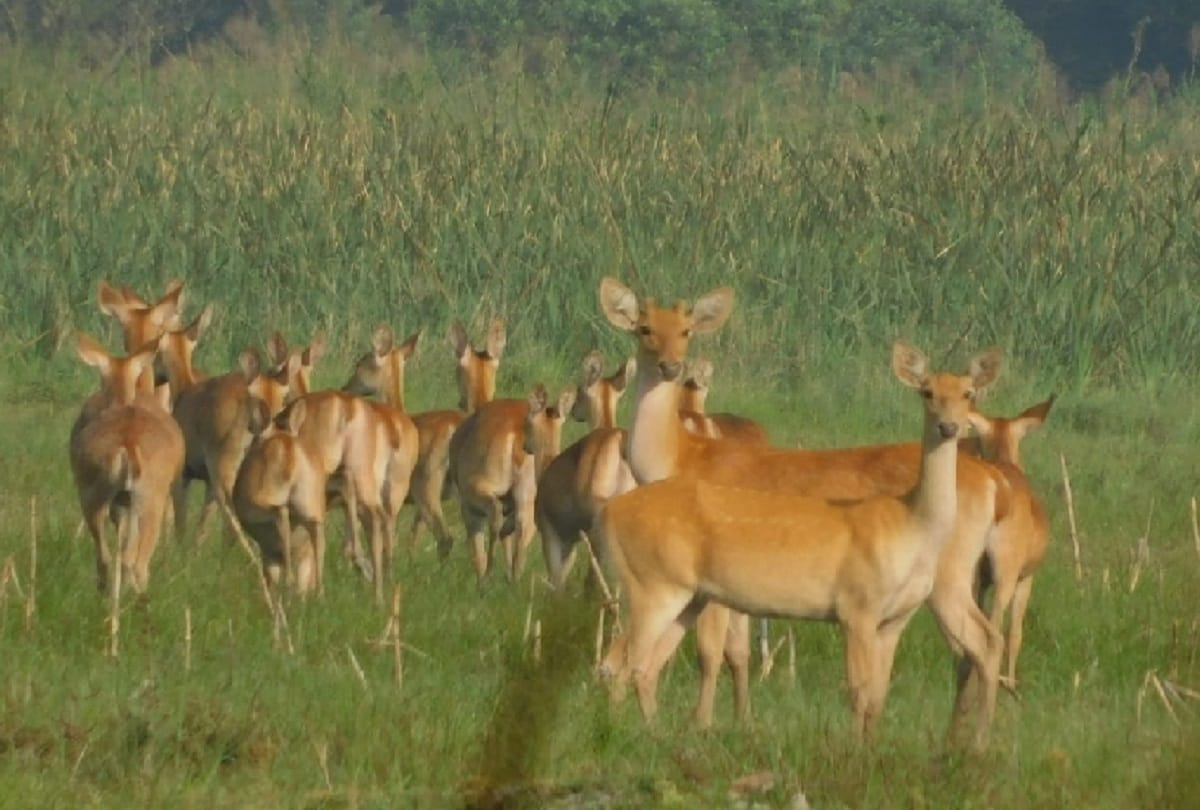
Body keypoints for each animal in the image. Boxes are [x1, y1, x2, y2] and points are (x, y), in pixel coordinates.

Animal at [450, 383, 575, 584]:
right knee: (521, 529)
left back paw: (487, 577)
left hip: (479, 492)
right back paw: (513, 580)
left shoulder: (469, 507)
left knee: (494, 517)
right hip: (526, 499)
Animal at [596, 277, 1010, 750]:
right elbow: (736, 652)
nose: (670, 366)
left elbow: (712, 652)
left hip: (950, 572)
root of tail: (993, 481)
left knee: (982, 642)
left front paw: (705, 723)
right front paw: (741, 721)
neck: (679, 455)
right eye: (644, 328)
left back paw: (970, 740)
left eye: (686, 331)